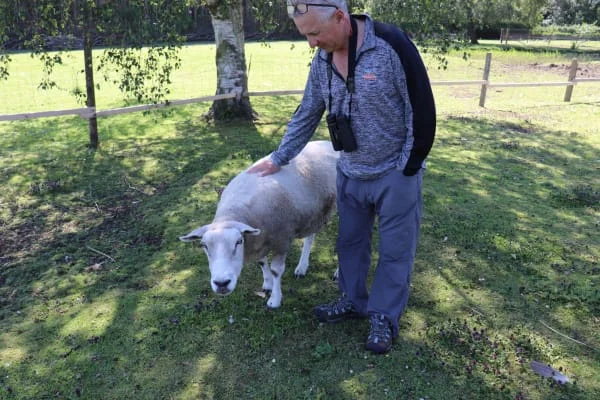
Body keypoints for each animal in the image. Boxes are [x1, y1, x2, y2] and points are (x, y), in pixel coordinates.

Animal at [179, 140, 338, 308]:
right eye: (204, 246)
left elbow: (276, 271)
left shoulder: (282, 239)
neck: (232, 213)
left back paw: (337, 273)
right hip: (314, 212)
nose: (221, 283)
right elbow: (262, 263)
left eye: (238, 242)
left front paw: (275, 299)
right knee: (310, 238)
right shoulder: (258, 239)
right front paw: (267, 284)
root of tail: (327, 143)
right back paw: (302, 267)